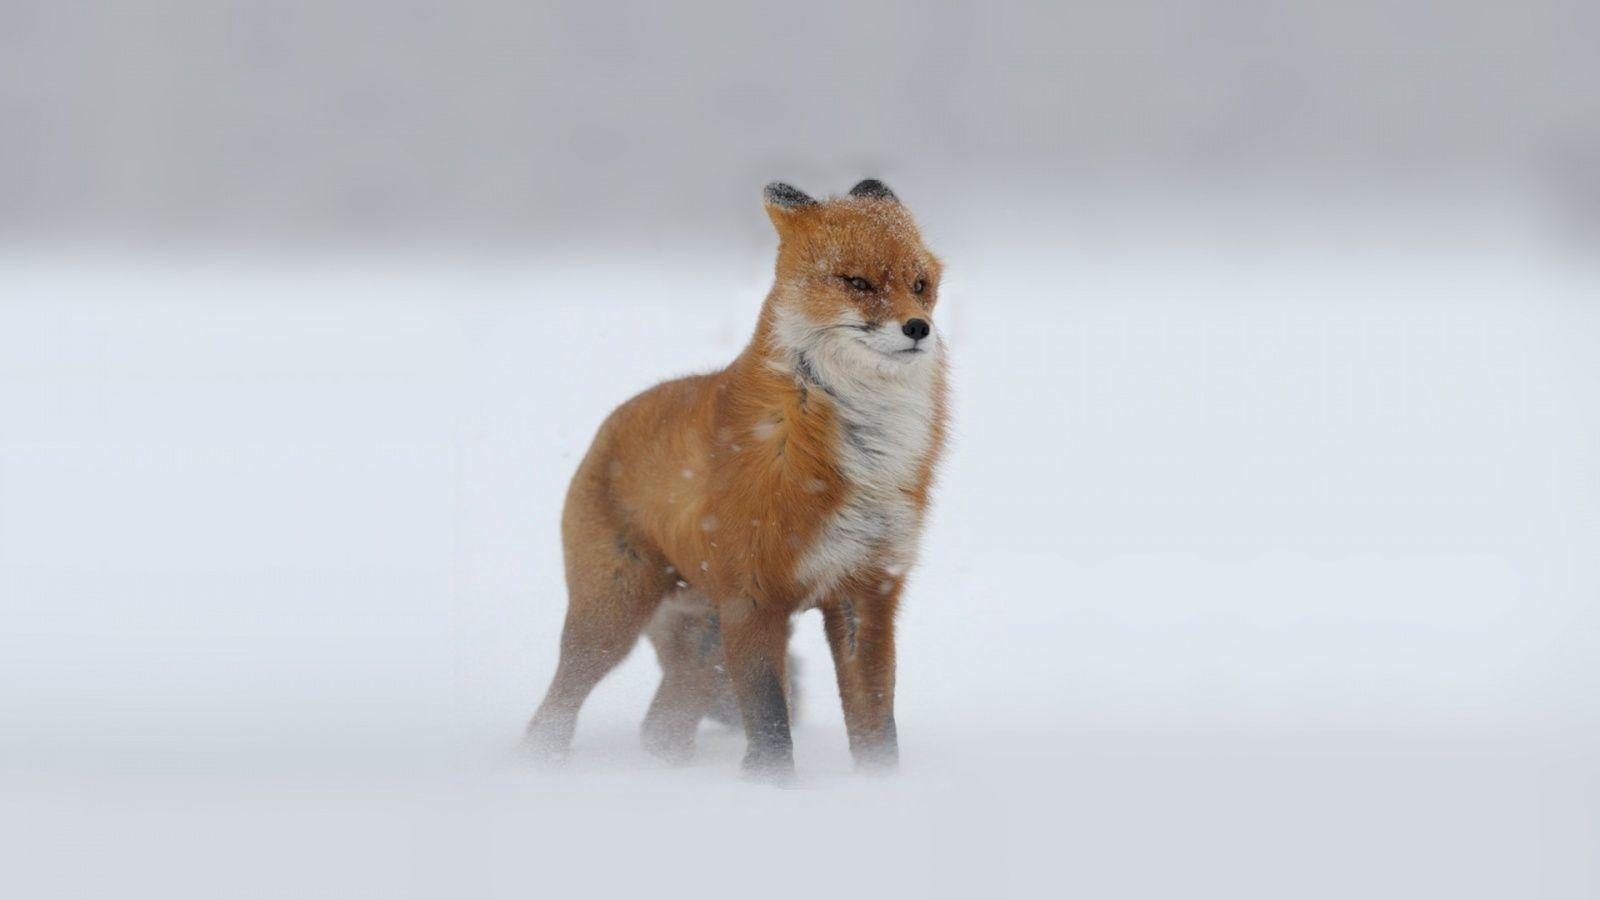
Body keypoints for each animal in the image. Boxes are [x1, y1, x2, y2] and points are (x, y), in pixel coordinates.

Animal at [524, 179, 948, 781]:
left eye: (920, 285)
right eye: (858, 283)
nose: (918, 328)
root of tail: (611, 422)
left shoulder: (866, 592)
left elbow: (876, 722)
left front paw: (880, 787)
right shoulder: (754, 598)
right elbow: (770, 720)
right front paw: (771, 790)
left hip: (704, 639)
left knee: (661, 728)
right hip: (613, 618)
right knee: (555, 710)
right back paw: (540, 766)